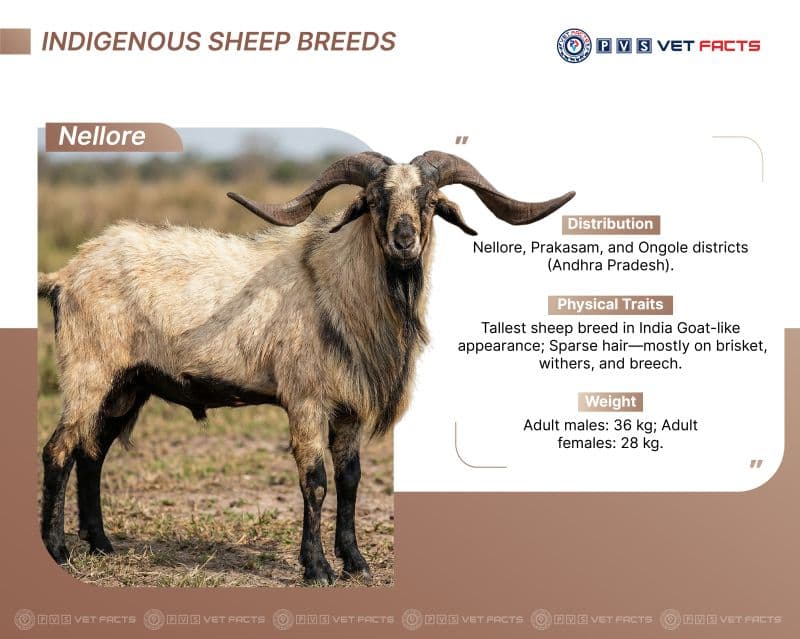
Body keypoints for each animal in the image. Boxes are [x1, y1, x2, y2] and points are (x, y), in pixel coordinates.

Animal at [38, 150, 575, 584]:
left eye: (428, 199)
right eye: (374, 199)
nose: (404, 241)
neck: (335, 289)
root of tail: (65, 275)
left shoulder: (349, 410)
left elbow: (351, 479)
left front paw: (356, 563)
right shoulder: (306, 402)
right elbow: (315, 481)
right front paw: (317, 570)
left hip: (127, 385)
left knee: (92, 452)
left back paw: (101, 545)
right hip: (89, 372)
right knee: (59, 450)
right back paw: (59, 552)